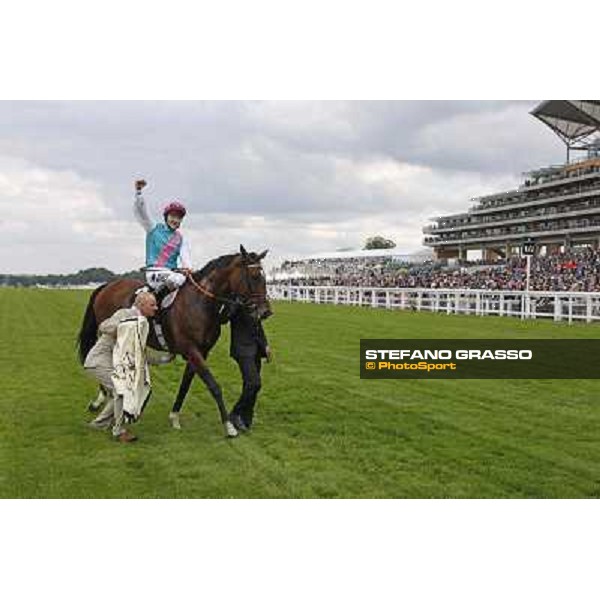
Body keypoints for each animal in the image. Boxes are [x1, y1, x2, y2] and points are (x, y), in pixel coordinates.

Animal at [77, 246, 272, 438]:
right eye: (255, 276)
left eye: (265, 277)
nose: (266, 311)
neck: (200, 303)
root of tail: (107, 285)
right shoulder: (191, 350)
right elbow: (214, 385)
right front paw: (229, 426)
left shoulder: (200, 352)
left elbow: (186, 384)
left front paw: (174, 416)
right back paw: (102, 398)